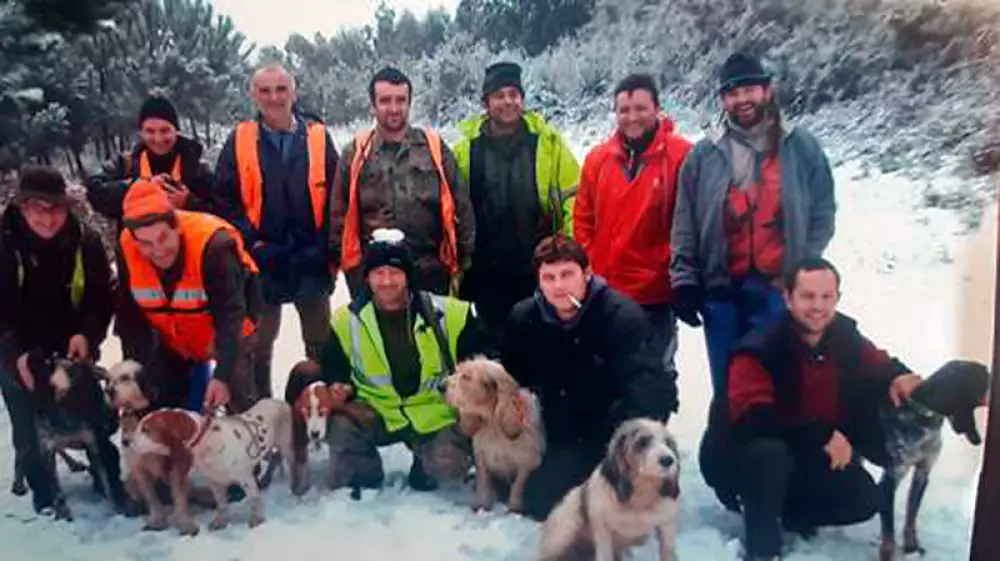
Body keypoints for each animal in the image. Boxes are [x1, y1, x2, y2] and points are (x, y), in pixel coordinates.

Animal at [130, 398, 300, 532]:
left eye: (145, 429)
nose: (127, 442)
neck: (207, 441)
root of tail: (279, 401)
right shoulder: (215, 482)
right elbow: (221, 505)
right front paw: (221, 522)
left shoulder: (246, 479)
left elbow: (254, 500)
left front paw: (257, 520)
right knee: (275, 458)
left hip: (288, 448)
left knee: (291, 464)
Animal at [442, 356, 544, 516]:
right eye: (457, 371)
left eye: (467, 376)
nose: (440, 386)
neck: (494, 423)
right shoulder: (482, 458)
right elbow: (483, 483)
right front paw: (482, 506)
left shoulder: (528, 461)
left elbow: (518, 485)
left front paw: (514, 508)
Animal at [540, 416, 680, 560]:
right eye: (642, 442)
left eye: (668, 443)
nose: (668, 460)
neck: (639, 498)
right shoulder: (603, 531)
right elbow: (605, 554)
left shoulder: (666, 527)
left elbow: (668, 552)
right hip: (566, 529)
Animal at [872, 360, 988, 556]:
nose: (979, 441)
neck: (922, 414)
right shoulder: (891, 476)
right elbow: (889, 534)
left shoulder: (923, 472)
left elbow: (911, 515)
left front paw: (911, 545)